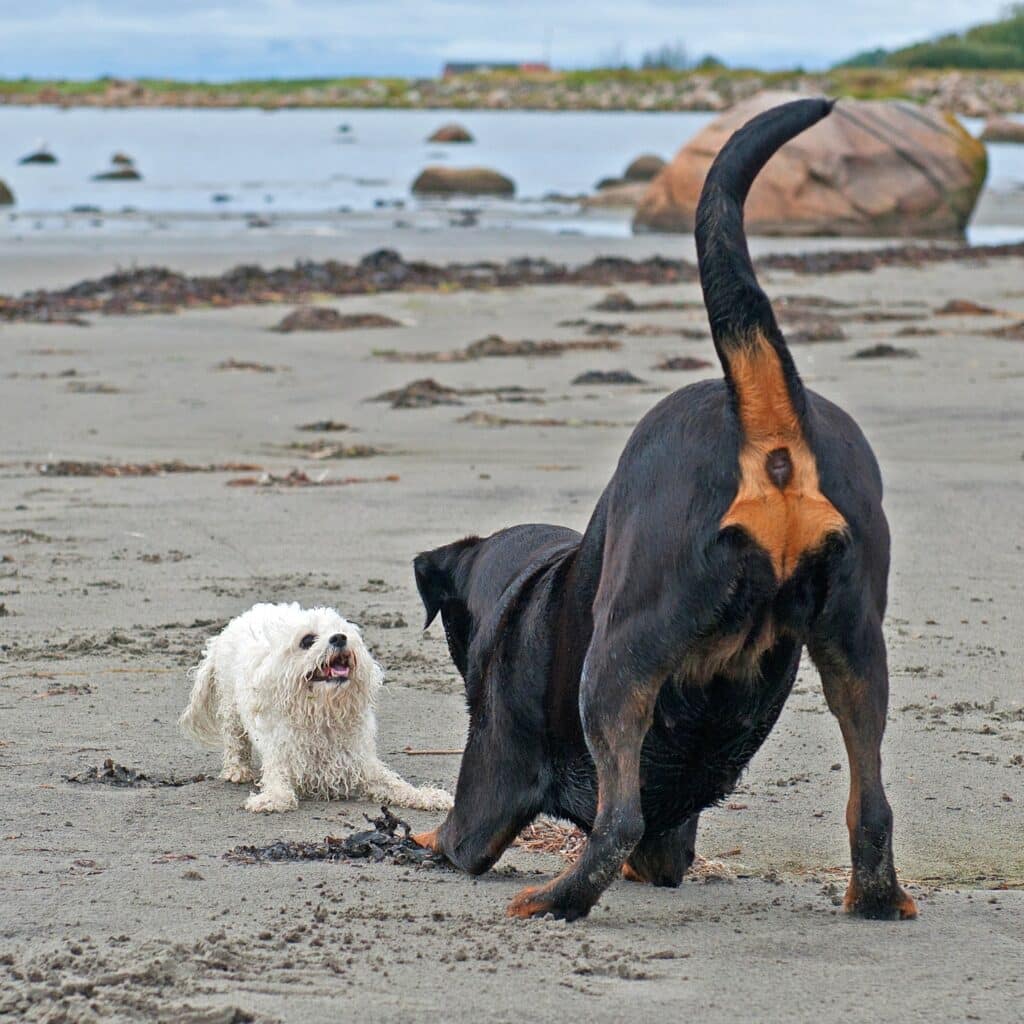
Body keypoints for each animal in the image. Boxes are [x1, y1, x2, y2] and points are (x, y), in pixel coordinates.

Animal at [179, 598, 452, 815]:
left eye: (342, 632)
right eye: (307, 640)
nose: (340, 638)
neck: (321, 712)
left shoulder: (362, 764)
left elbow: (398, 785)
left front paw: (430, 796)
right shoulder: (281, 760)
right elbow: (280, 789)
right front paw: (269, 800)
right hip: (231, 706)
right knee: (235, 740)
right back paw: (237, 770)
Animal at [411, 99, 917, 925]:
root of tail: (762, 418)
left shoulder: (488, 783)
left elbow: (454, 835)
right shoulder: (672, 839)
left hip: (619, 659)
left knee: (617, 818)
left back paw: (556, 898)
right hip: (854, 642)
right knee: (870, 804)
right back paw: (877, 897)